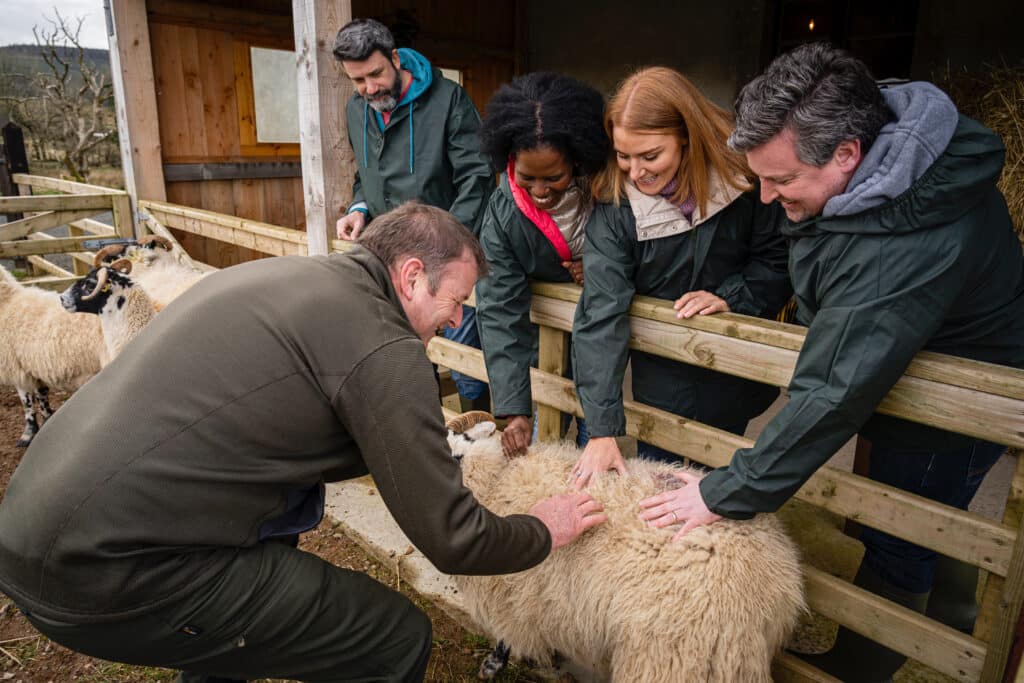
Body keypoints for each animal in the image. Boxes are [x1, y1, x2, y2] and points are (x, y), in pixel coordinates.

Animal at [0, 264, 105, 446]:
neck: (6, 302)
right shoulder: (34, 367)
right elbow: (42, 396)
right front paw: (47, 420)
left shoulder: (17, 368)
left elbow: (26, 403)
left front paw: (27, 435)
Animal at [448, 411, 806, 683]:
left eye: (455, 453)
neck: (498, 479)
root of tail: (780, 585)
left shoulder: (508, 591)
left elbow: (506, 636)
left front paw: (495, 664)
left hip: (672, 654)